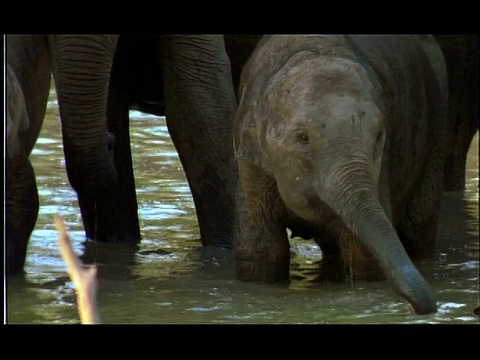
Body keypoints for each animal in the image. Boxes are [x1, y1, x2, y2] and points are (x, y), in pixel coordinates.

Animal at [234, 35, 448, 314]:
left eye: (378, 136)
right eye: (303, 138)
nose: (427, 306)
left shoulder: (381, 167)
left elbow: (361, 252)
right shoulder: (251, 162)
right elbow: (260, 251)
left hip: (435, 137)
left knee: (417, 229)